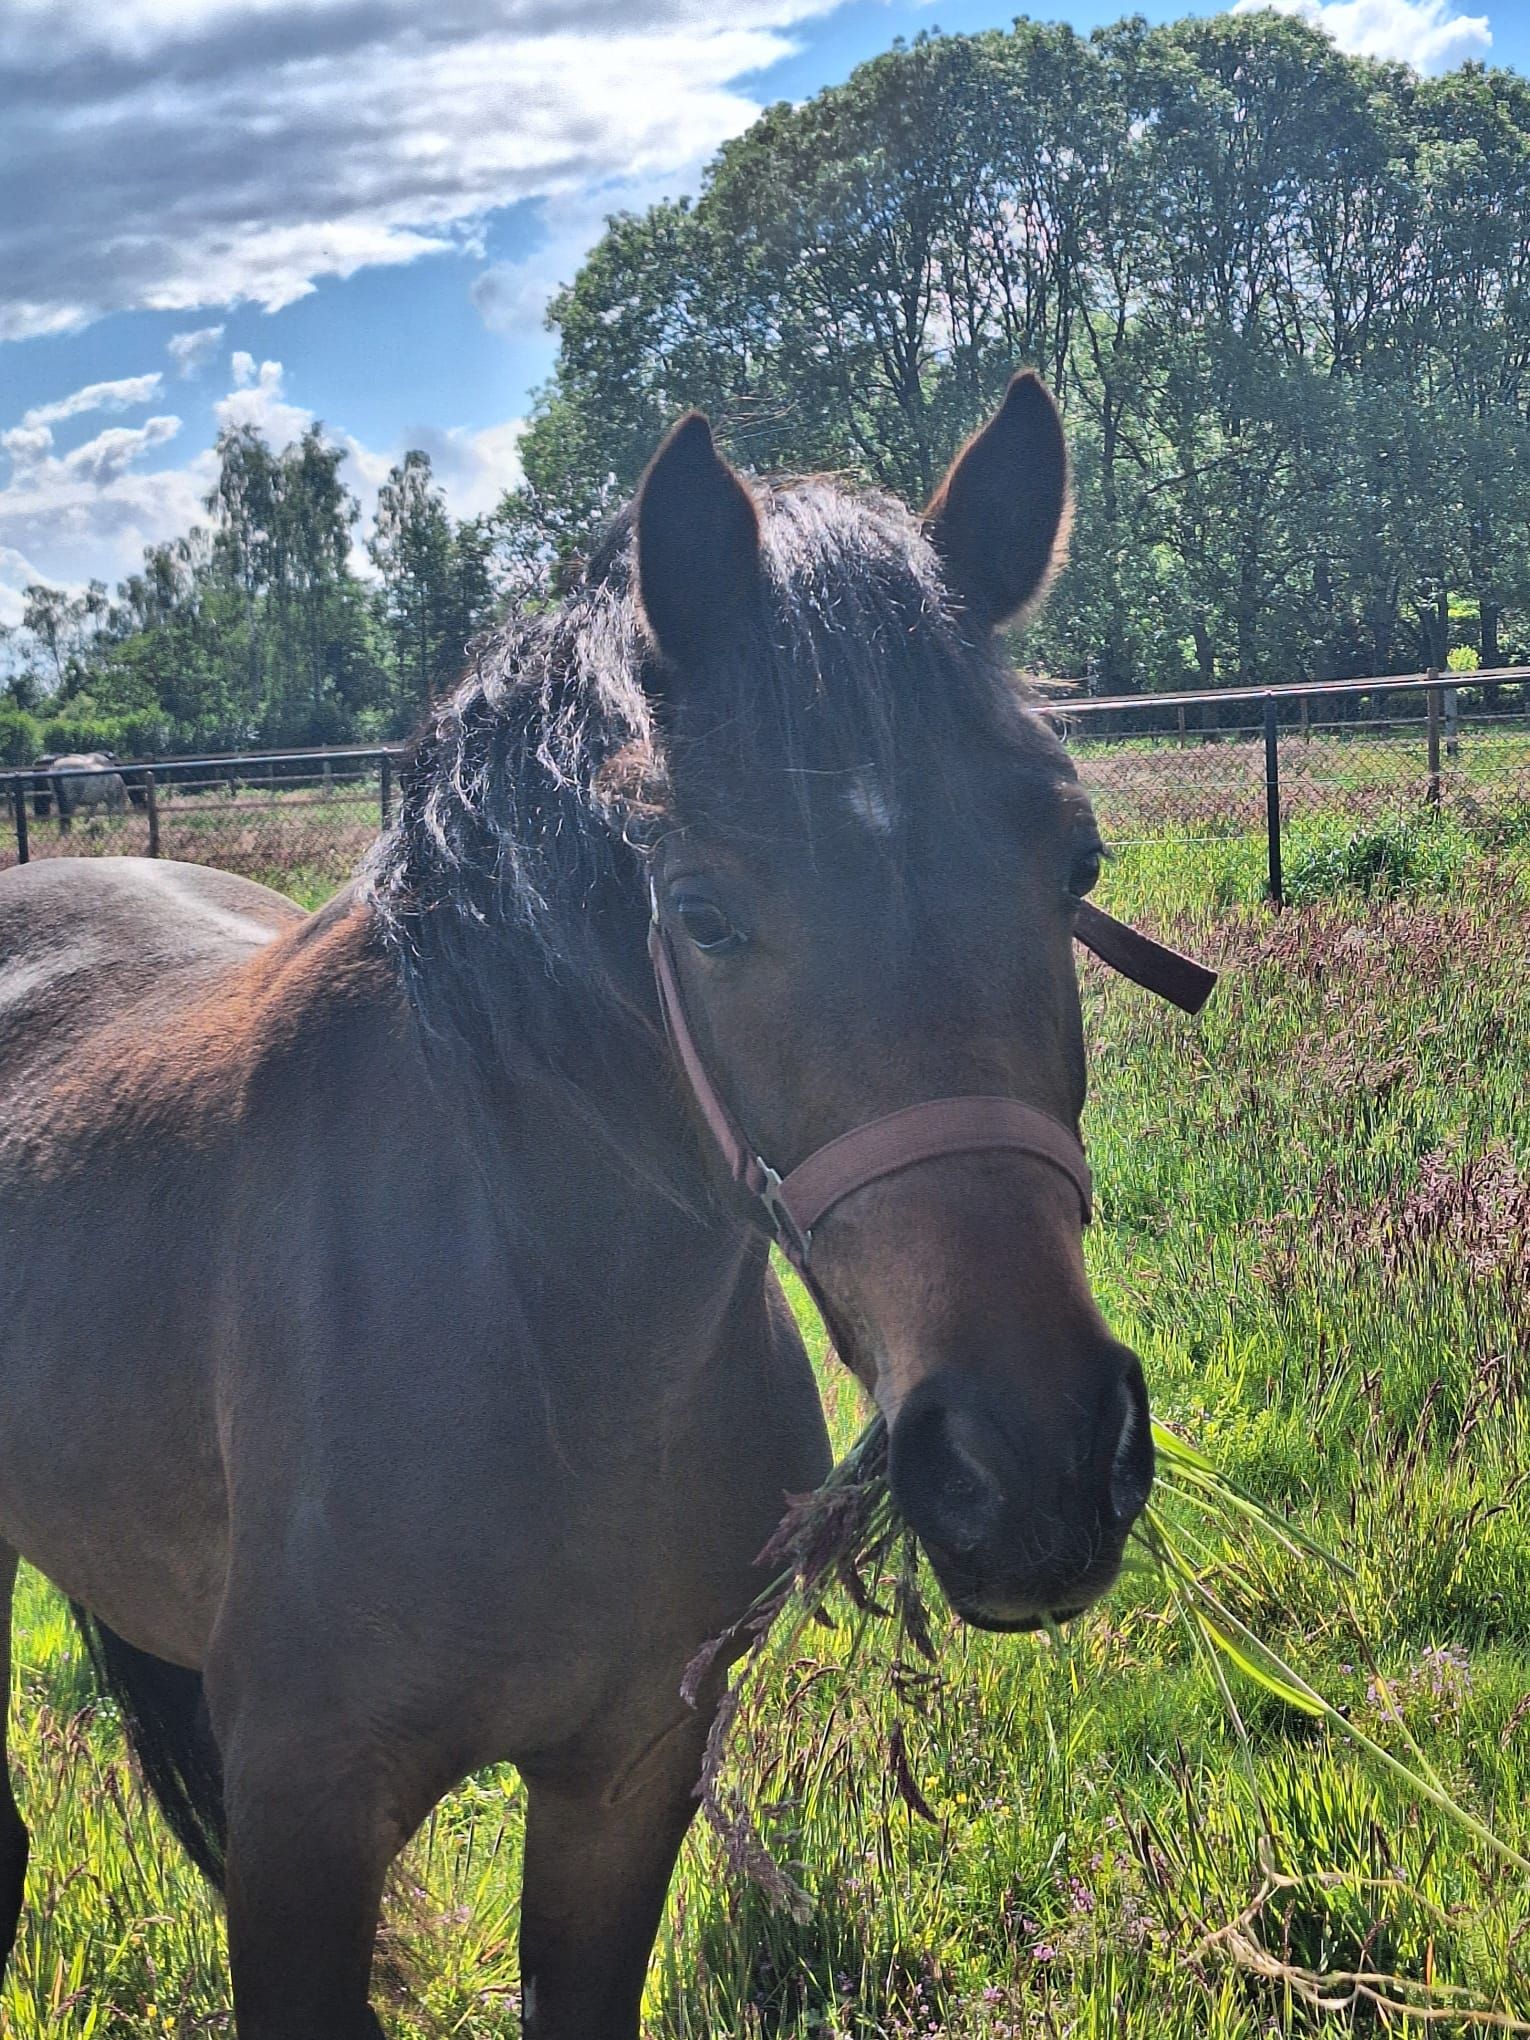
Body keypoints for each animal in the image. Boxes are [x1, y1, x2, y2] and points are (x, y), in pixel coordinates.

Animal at [0, 373, 1178, 2038]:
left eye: (1074, 860)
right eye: (702, 915)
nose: (1034, 1465)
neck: (539, 1346)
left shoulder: (624, 1784)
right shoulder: (301, 1817)